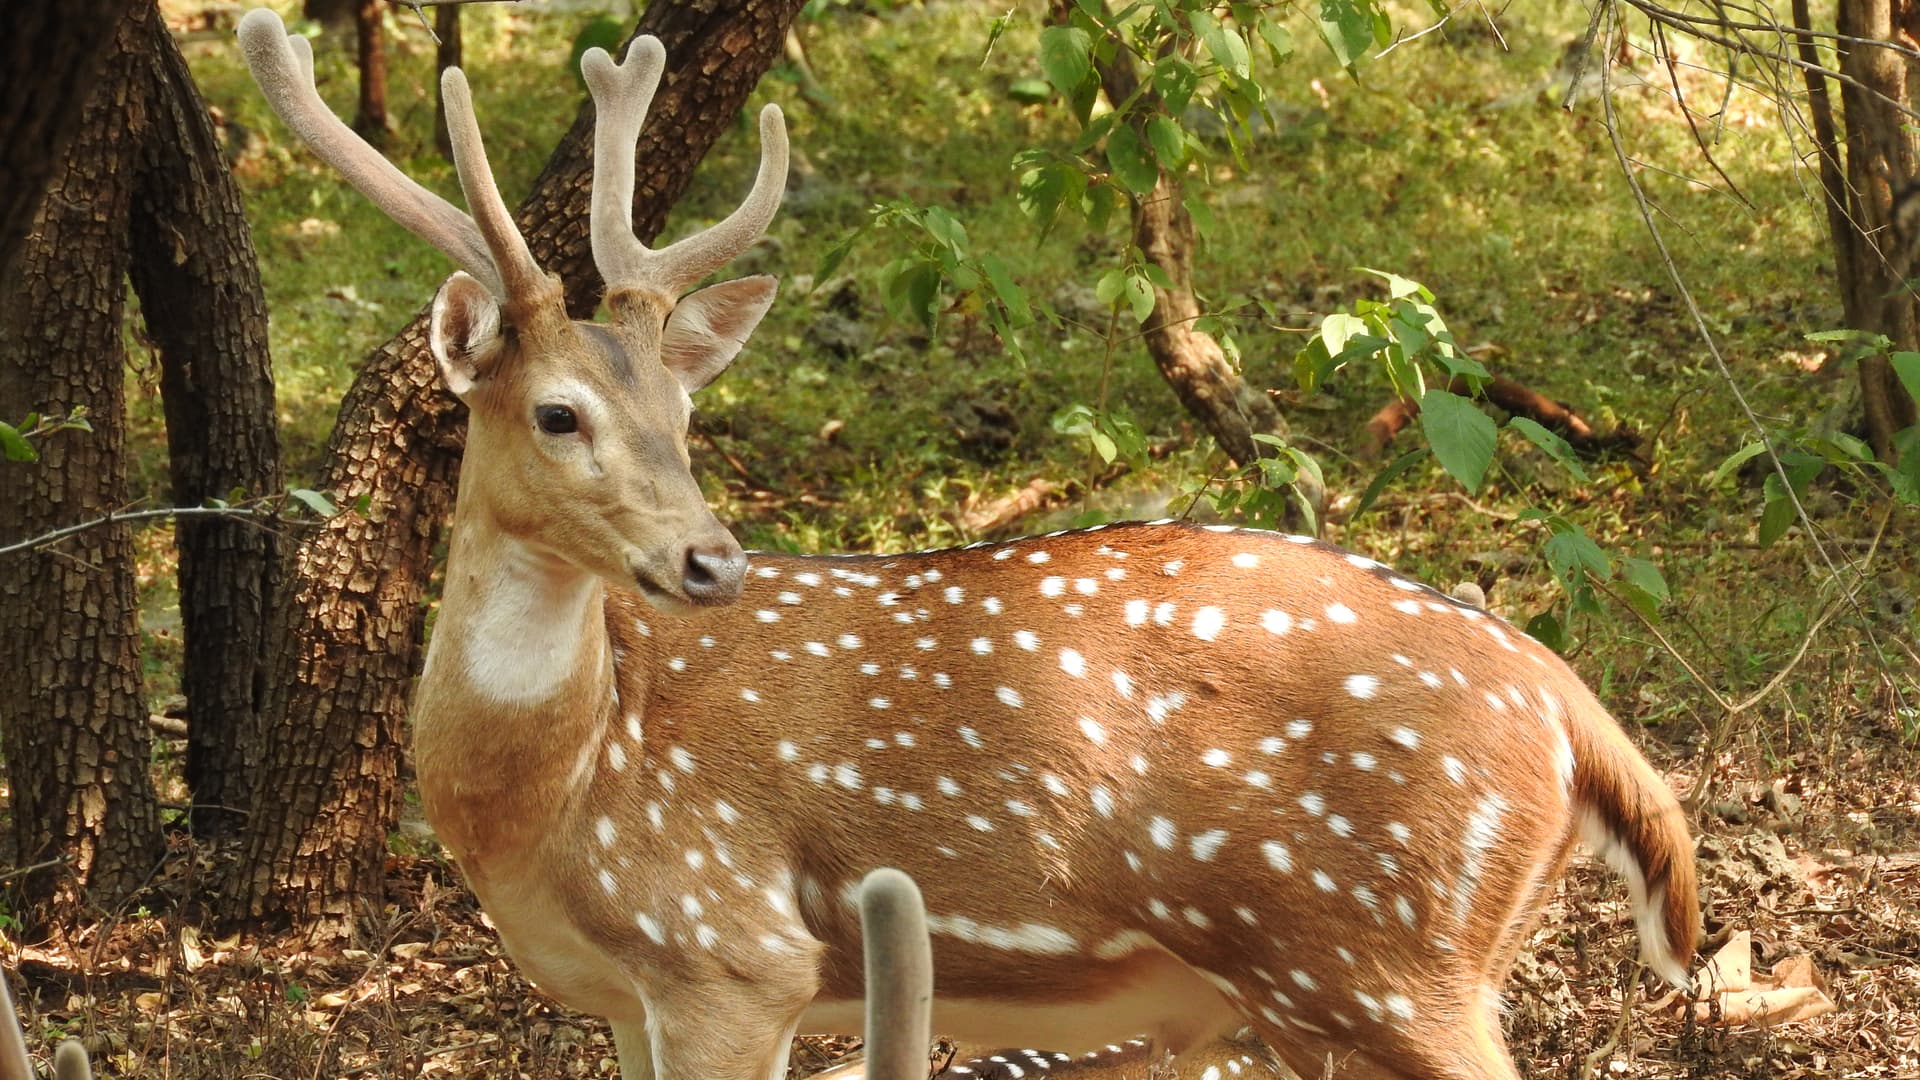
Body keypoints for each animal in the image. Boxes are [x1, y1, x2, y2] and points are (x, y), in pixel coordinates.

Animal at [237, 9, 1698, 1079]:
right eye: (559, 412)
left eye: (685, 413)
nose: (713, 561)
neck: (548, 800)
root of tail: (1575, 715)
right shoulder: (626, 994)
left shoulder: (728, 948)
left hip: (1391, 962)